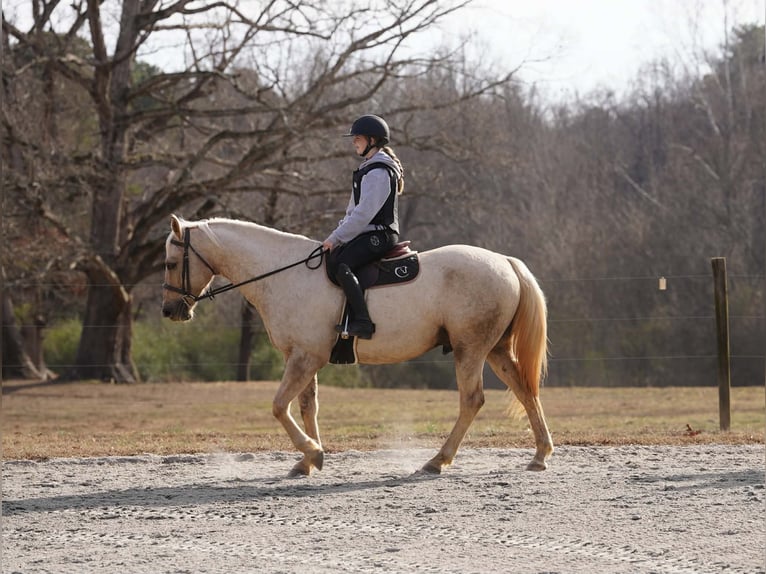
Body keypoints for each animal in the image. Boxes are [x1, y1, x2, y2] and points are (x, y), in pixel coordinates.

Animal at [161, 215, 554, 477]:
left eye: (170, 262)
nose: (170, 311)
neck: (286, 274)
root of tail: (505, 262)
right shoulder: (304, 358)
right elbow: (307, 408)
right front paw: (307, 461)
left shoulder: (304, 358)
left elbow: (278, 407)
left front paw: (312, 452)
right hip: (495, 350)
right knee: (525, 391)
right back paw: (539, 455)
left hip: (469, 350)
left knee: (472, 400)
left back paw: (437, 460)